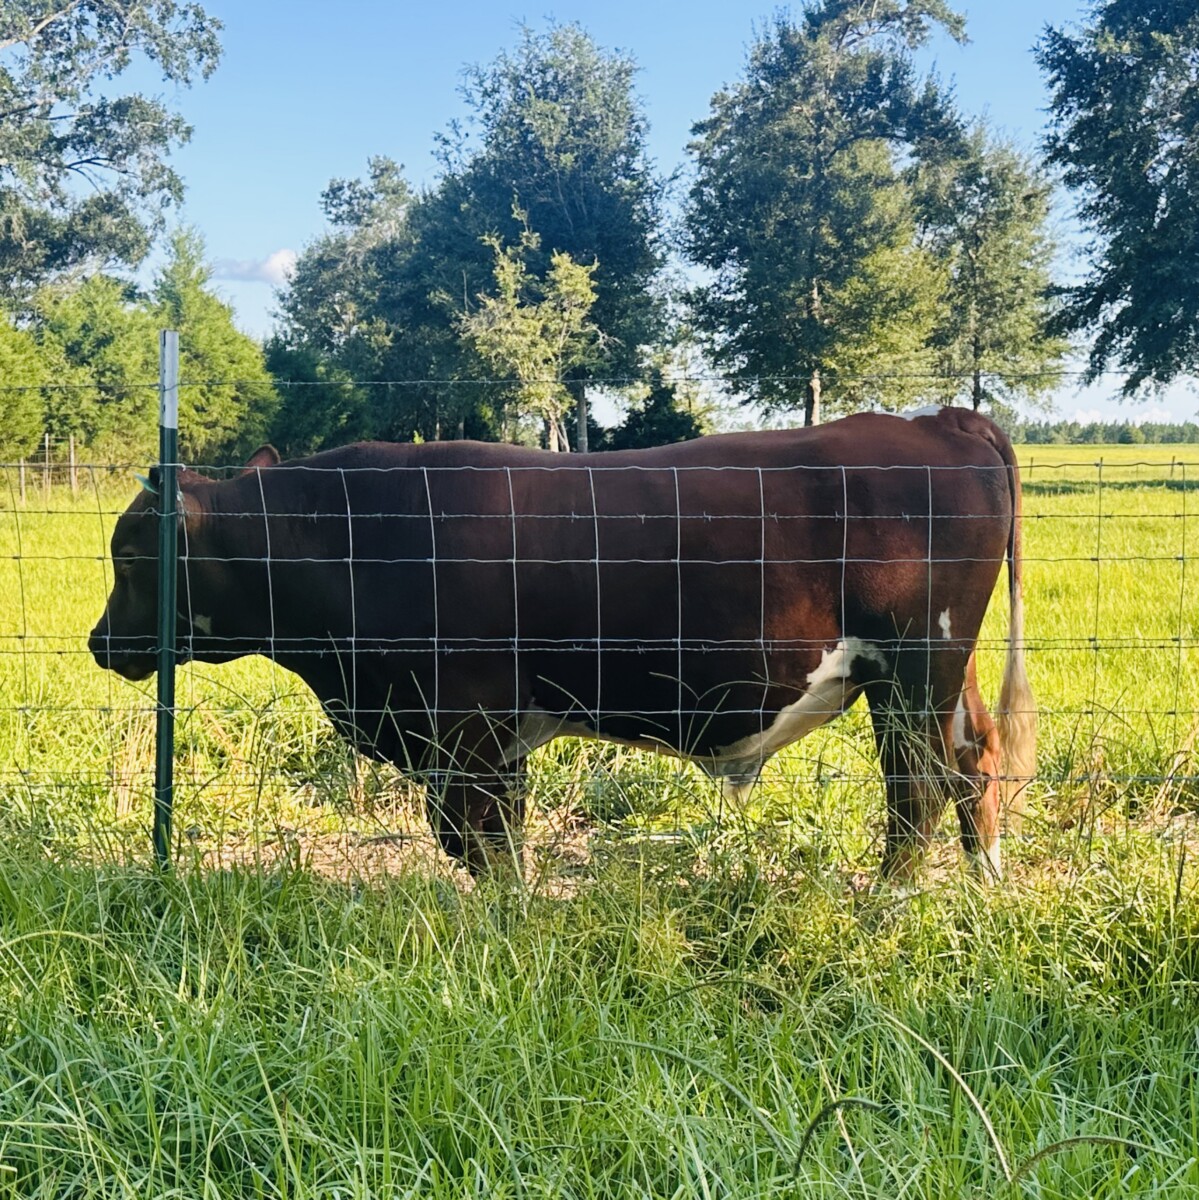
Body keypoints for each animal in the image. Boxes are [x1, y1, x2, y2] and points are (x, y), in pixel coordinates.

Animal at [89, 406, 1036, 881]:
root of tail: (935, 418)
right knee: (972, 765)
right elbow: (493, 841)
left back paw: (884, 911)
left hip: (910, 670)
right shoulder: (485, 735)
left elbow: (480, 844)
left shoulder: (465, 726)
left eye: (130, 552)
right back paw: (978, 893)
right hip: (942, 674)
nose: (100, 642)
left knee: (915, 796)